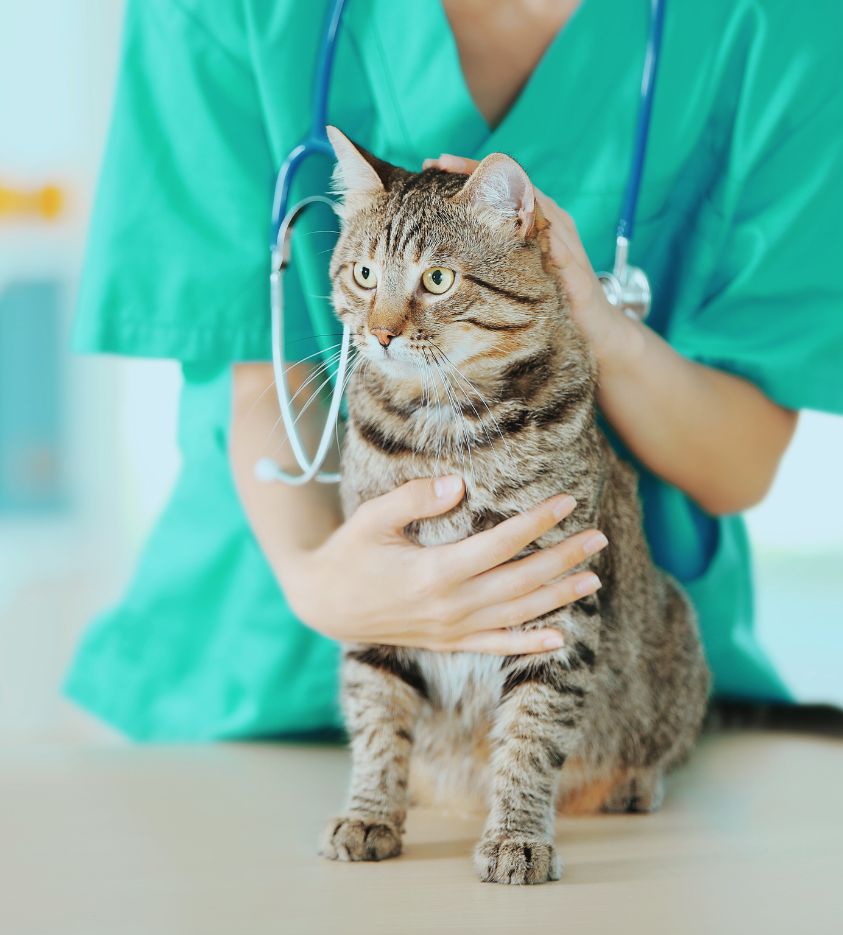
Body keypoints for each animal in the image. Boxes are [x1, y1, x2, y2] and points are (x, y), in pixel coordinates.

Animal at [320, 126, 708, 884]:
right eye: (364, 275)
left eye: (437, 279)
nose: (380, 332)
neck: (445, 431)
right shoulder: (379, 583)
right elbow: (377, 716)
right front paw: (371, 812)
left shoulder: (557, 596)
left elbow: (530, 733)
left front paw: (517, 836)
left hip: (677, 631)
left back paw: (632, 782)